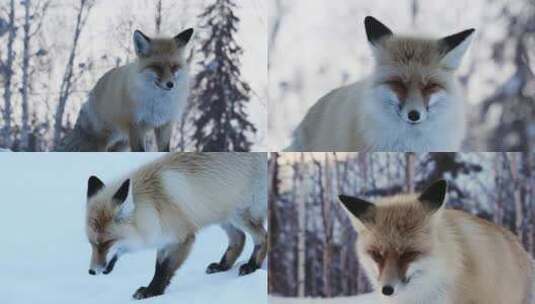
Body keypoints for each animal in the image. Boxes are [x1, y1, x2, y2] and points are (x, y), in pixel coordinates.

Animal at [57, 28, 195, 152]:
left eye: (174, 67)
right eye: (157, 67)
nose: (170, 84)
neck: (157, 102)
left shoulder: (164, 125)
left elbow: (165, 150)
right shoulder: (136, 125)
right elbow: (139, 151)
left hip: (123, 143)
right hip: (103, 140)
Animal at [85, 152, 268, 300]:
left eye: (106, 243)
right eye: (92, 243)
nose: (91, 272)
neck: (155, 206)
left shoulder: (183, 239)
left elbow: (164, 270)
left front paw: (152, 292)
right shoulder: (164, 239)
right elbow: (158, 268)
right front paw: (153, 289)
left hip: (239, 215)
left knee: (262, 238)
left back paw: (252, 266)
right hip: (222, 215)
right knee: (239, 238)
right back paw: (222, 266)